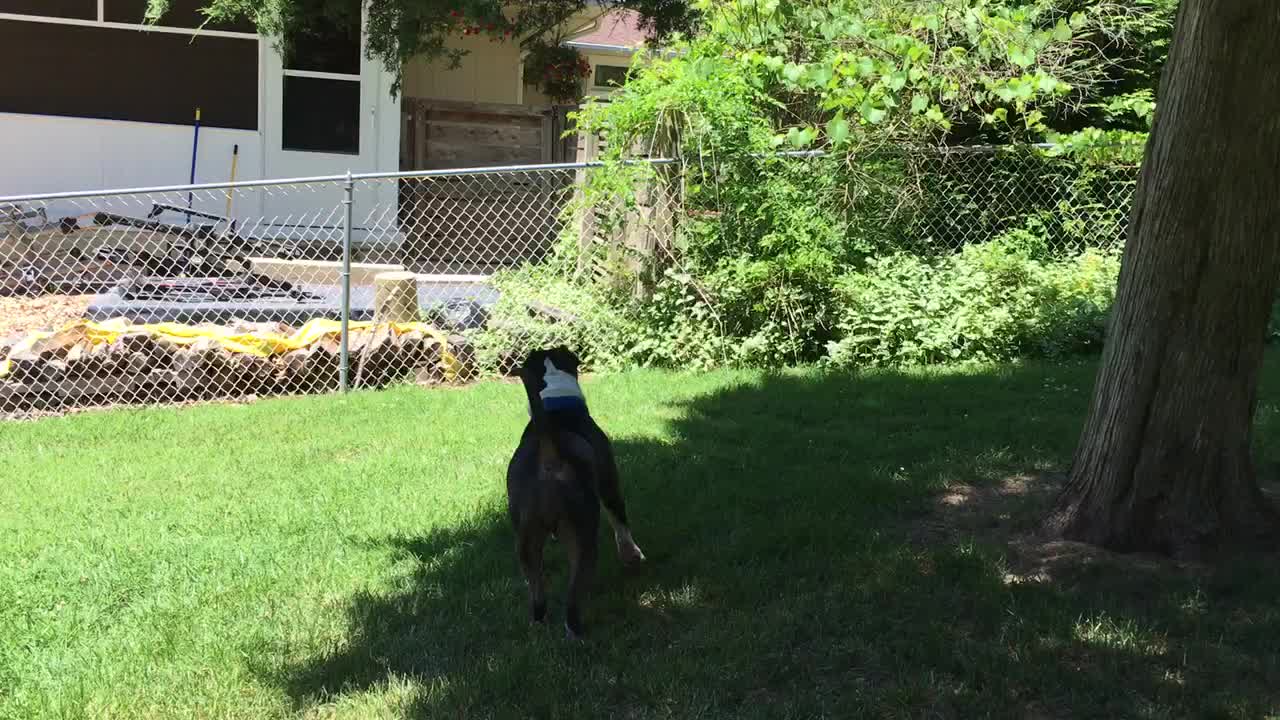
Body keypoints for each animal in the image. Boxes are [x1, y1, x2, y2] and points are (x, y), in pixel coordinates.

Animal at [504, 345, 645, 635]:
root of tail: (549, 454)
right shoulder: (610, 484)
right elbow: (620, 522)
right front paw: (633, 556)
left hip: (525, 539)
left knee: (537, 590)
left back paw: (538, 623)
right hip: (583, 534)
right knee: (573, 596)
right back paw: (576, 631)